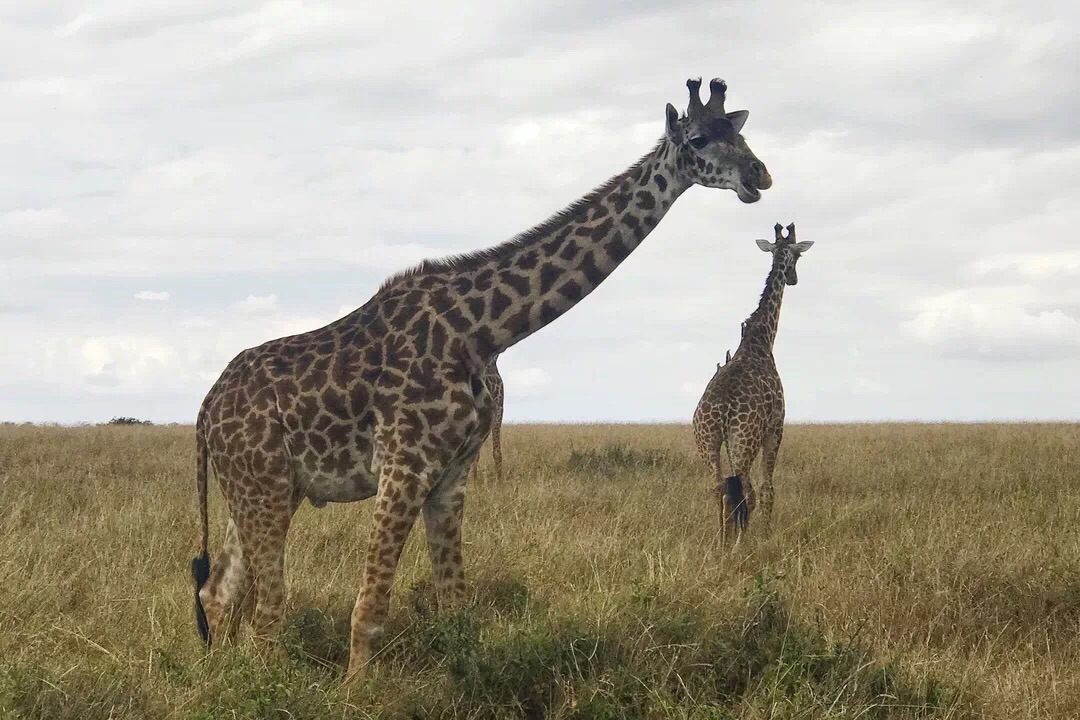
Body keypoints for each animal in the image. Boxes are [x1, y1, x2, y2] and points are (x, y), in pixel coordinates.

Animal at [192, 76, 768, 686]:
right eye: (700, 137)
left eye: (740, 132)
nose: (760, 174)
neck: (480, 330)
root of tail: (205, 412)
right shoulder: (404, 467)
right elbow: (370, 606)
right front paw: (353, 692)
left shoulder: (451, 476)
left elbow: (455, 604)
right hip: (263, 488)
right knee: (266, 610)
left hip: (263, 489)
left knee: (218, 592)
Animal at [691, 225, 812, 539]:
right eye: (797, 257)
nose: (793, 278)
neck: (761, 340)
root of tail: (720, 412)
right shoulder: (776, 427)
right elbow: (768, 488)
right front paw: (766, 535)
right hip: (744, 442)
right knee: (747, 490)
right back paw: (740, 541)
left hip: (707, 441)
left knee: (718, 487)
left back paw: (722, 540)